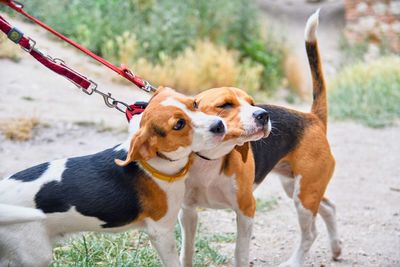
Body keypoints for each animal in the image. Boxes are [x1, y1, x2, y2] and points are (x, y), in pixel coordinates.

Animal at [0, 87, 225, 267]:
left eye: (194, 103)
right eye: (178, 124)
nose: (219, 125)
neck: (154, 161)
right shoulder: (161, 232)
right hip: (35, 255)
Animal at [179, 11, 340, 267]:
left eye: (252, 102)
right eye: (225, 105)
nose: (264, 115)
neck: (211, 161)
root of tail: (312, 117)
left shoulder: (246, 210)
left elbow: (240, 254)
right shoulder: (187, 211)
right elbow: (186, 252)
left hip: (304, 195)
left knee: (311, 232)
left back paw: (294, 261)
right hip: (297, 187)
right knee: (329, 208)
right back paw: (336, 248)